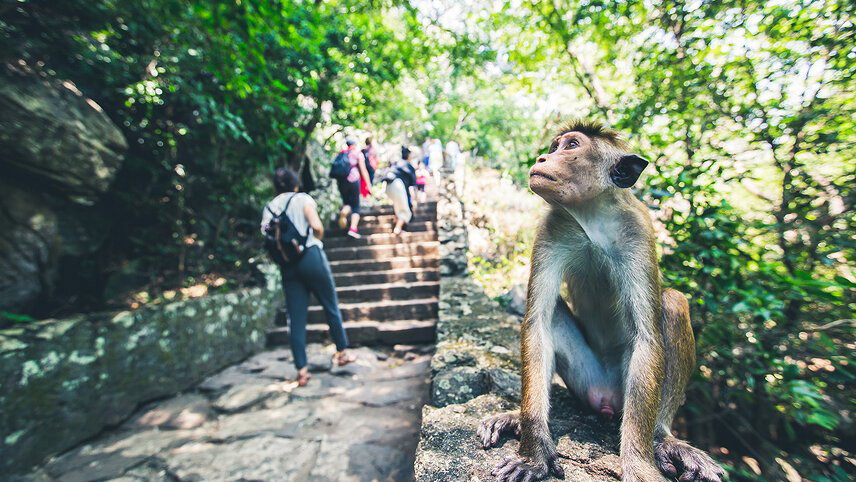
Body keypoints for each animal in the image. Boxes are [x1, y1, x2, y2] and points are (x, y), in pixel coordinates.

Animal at [474, 121, 724, 482]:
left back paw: (664, 439)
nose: (542, 157)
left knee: (674, 301)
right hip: (587, 380)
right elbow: (537, 324)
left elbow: (646, 338)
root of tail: (607, 400)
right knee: (550, 315)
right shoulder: (552, 228)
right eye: (555, 146)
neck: (590, 217)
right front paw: (534, 453)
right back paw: (517, 418)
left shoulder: (638, 232)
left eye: (571, 146)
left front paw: (638, 464)